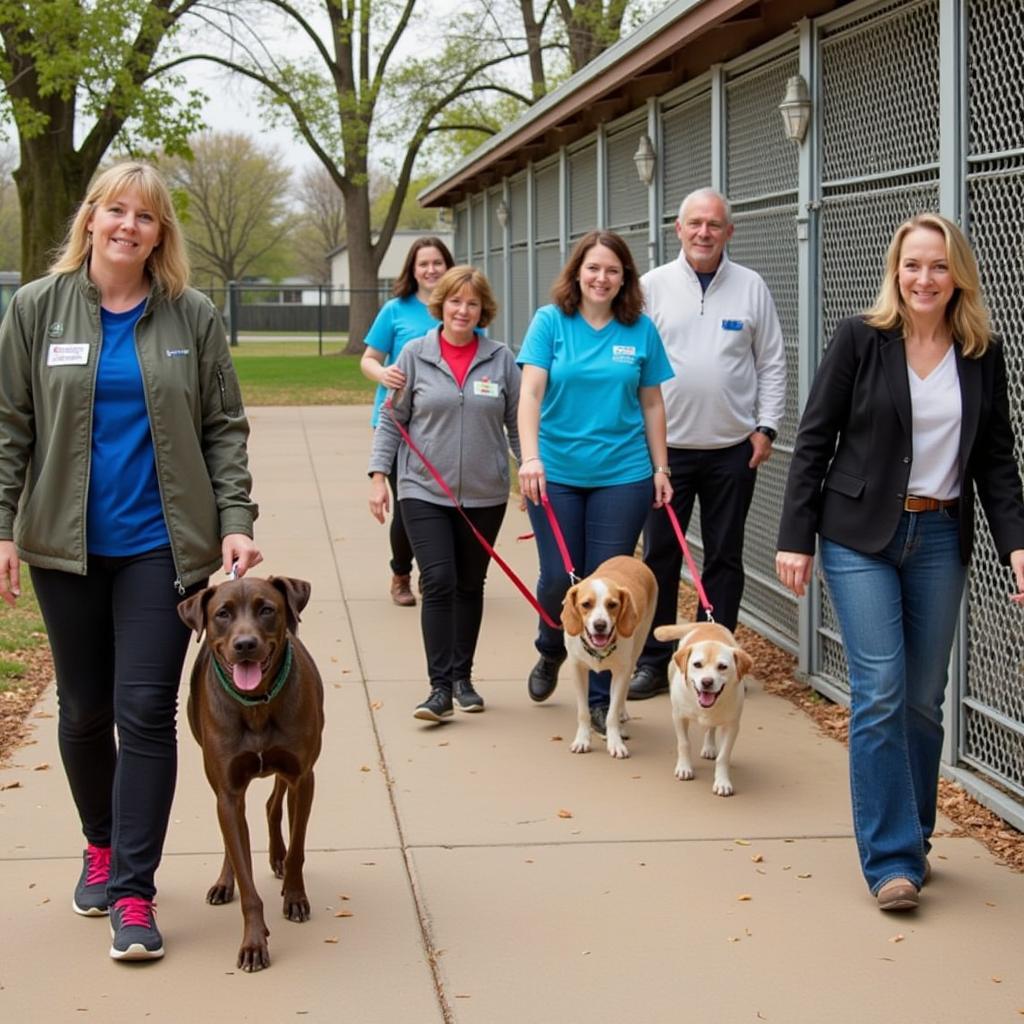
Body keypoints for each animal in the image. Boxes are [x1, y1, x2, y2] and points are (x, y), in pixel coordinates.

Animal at [177, 577, 323, 966]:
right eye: (222, 614)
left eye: (267, 609)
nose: (245, 645)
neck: (256, 704)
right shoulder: (228, 792)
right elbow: (246, 877)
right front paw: (254, 942)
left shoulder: (303, 776)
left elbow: (299, 847)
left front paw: (295, 896)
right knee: (234, 836)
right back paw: (224, 882)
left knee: (274, 805)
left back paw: (278, 858)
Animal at [561, 552, 655, 761]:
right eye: (586, 604)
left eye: (612, 605)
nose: (600, 625)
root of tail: (631, 558)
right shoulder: (577, 669)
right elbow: (583, 712)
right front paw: (582, 740)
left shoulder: (621, 671)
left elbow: (611, 713)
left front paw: (616, 742)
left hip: (637, 648)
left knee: (623, 692)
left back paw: (622, 712)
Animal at [655, 618, 753, 794]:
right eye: (697, 664)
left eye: (722, 666)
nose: (707, 682)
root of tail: (707, 623)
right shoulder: (679, 717)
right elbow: (684, 744)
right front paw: (684, 768)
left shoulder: (732, 726)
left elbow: (723, 756)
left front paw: (722, 782)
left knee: (711, 728)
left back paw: (709, 747)